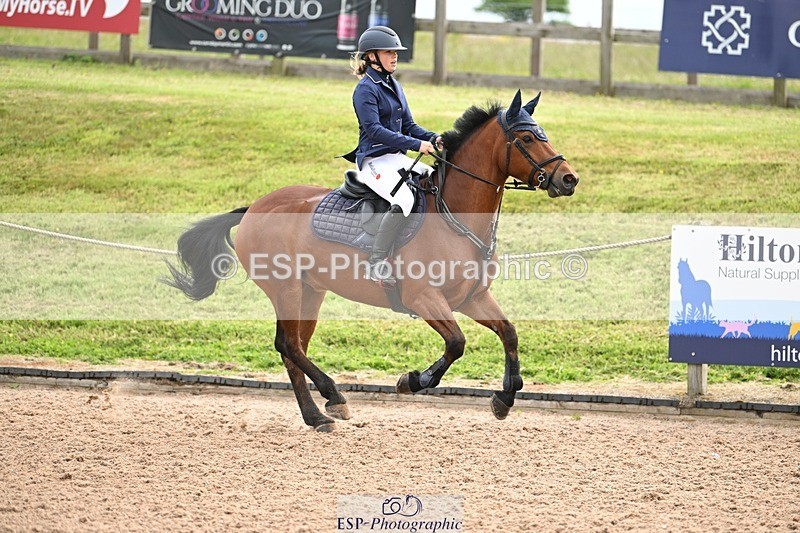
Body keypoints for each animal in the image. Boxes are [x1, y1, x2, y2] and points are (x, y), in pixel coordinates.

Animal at [165, 90, 580, 431]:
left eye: (544, 134)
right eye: (526, 138)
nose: (569, 179)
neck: (455, 217)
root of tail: (254, 208)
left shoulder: (471, 297)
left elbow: (509, 333)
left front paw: (505, 398)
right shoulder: (424, 299)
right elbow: (457, 343)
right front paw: (413, 381)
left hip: (310, 292)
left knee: (293, 348)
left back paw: (317, 416)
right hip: (286, 288)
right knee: (289, 346)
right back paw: (333, 398)